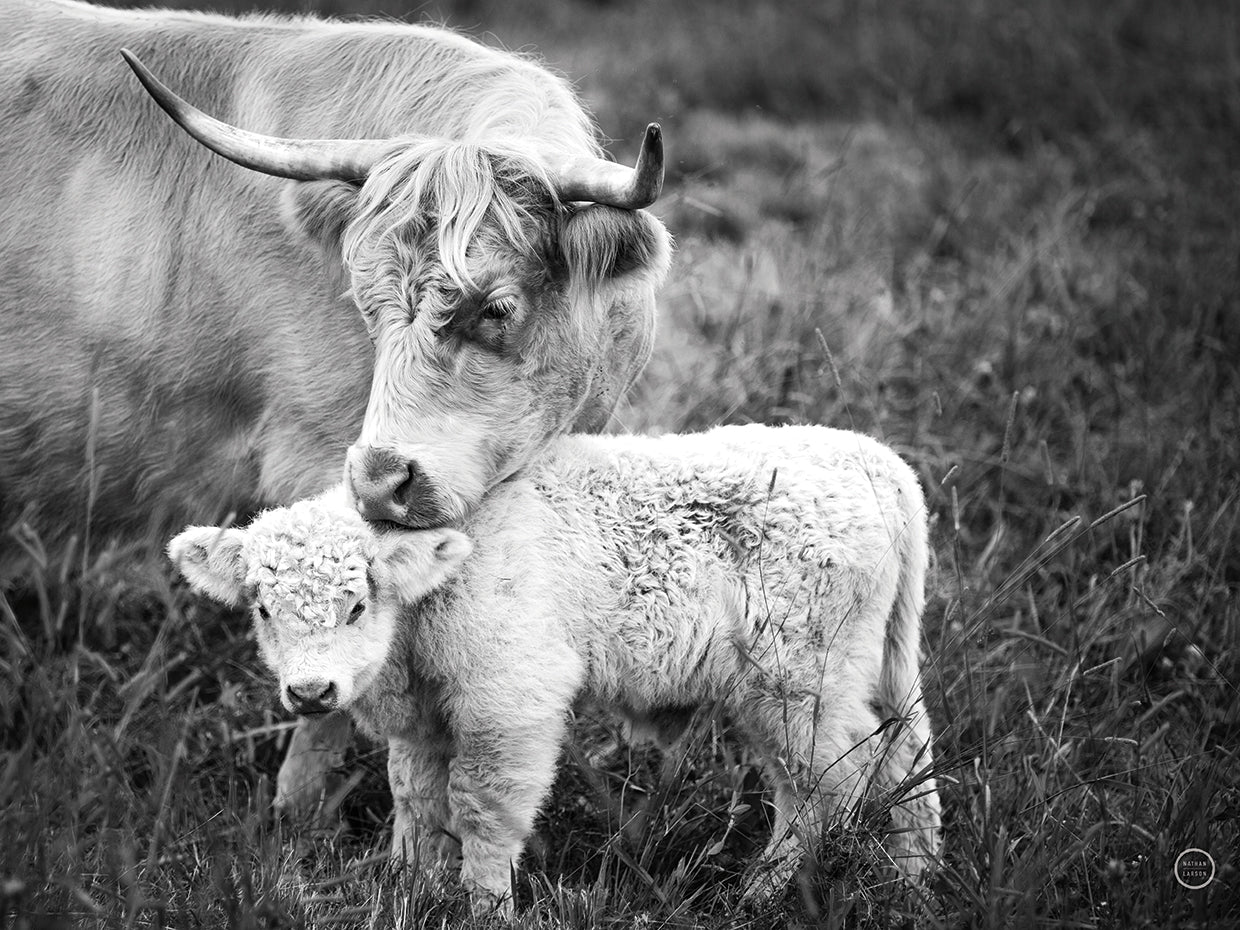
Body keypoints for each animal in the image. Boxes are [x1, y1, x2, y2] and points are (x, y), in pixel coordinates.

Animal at [169, 424, 943, 915]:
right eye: (262, 608)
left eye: (358, 604)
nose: (310, 690)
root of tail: (873, 459)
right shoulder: (425, 722)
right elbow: (415, 799)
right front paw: (409, 888)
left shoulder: (508, 701)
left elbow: (482, 808)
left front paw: (486, 906)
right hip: (868, 667)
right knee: (904, 755)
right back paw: (915, 882)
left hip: (797, 681)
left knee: (827, 782)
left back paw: (759, 893)